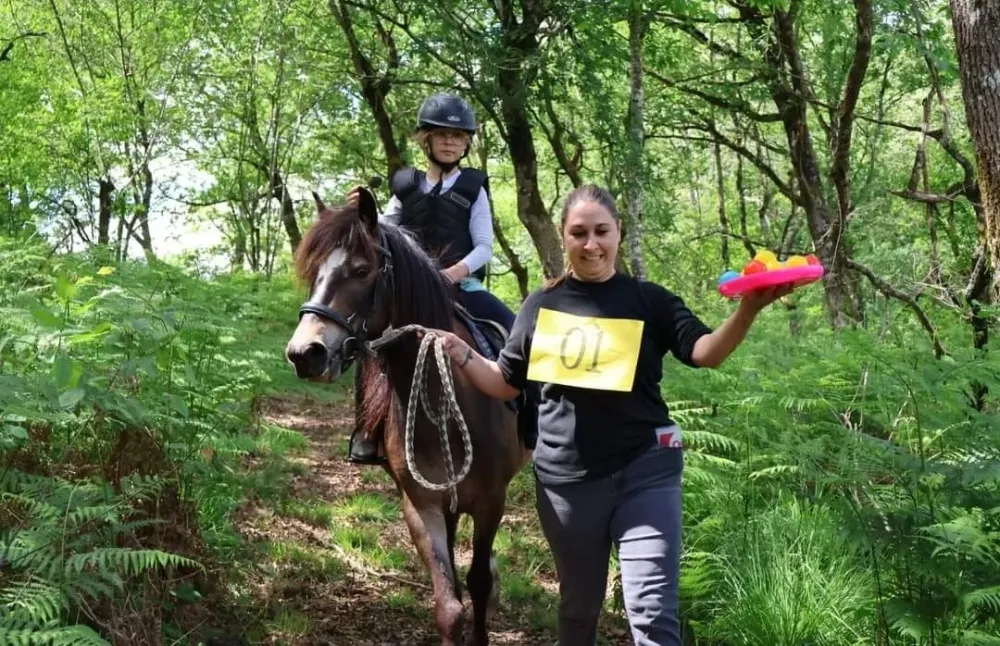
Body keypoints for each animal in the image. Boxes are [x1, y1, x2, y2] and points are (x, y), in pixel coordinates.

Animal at [285, 188, 529, 646]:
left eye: (362, 270)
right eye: (314, 271)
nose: (305, 354)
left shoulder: (492, 500)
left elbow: (478, 583)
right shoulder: (420, 503)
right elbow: (448, 604)